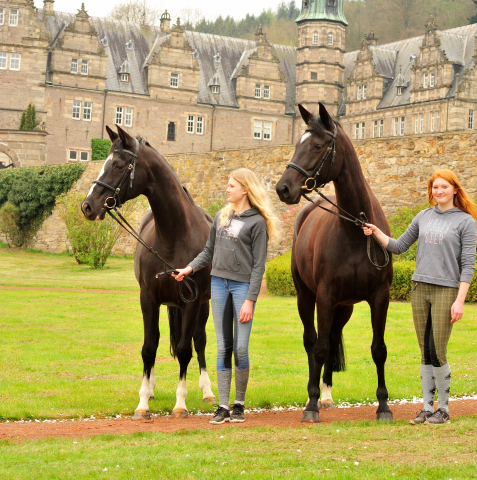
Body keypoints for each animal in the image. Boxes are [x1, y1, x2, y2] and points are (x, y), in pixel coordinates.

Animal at [82, 125, 216, 418]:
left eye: (118, 165)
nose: (87, 206)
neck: (174, 236)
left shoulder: (192, 301)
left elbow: (185, 349)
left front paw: (180, 403)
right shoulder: (149, 299)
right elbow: (148, 347)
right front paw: (143, 401)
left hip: (203, 304)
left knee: (199, 340)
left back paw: (207, 390)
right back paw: (152, 387)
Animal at [274, 103, 392, 422]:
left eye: (317, 146)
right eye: (297, 144)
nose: (283, 188)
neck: (356, 229)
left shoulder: (380, 297)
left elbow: (378, 349)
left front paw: (383, 406)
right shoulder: (324, 296)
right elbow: (320, 348)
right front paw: (311, 405)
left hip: (344, 307)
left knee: (333, 335)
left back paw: (326, 394)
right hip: (306, 297)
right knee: (313, 340)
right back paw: (314, 396)